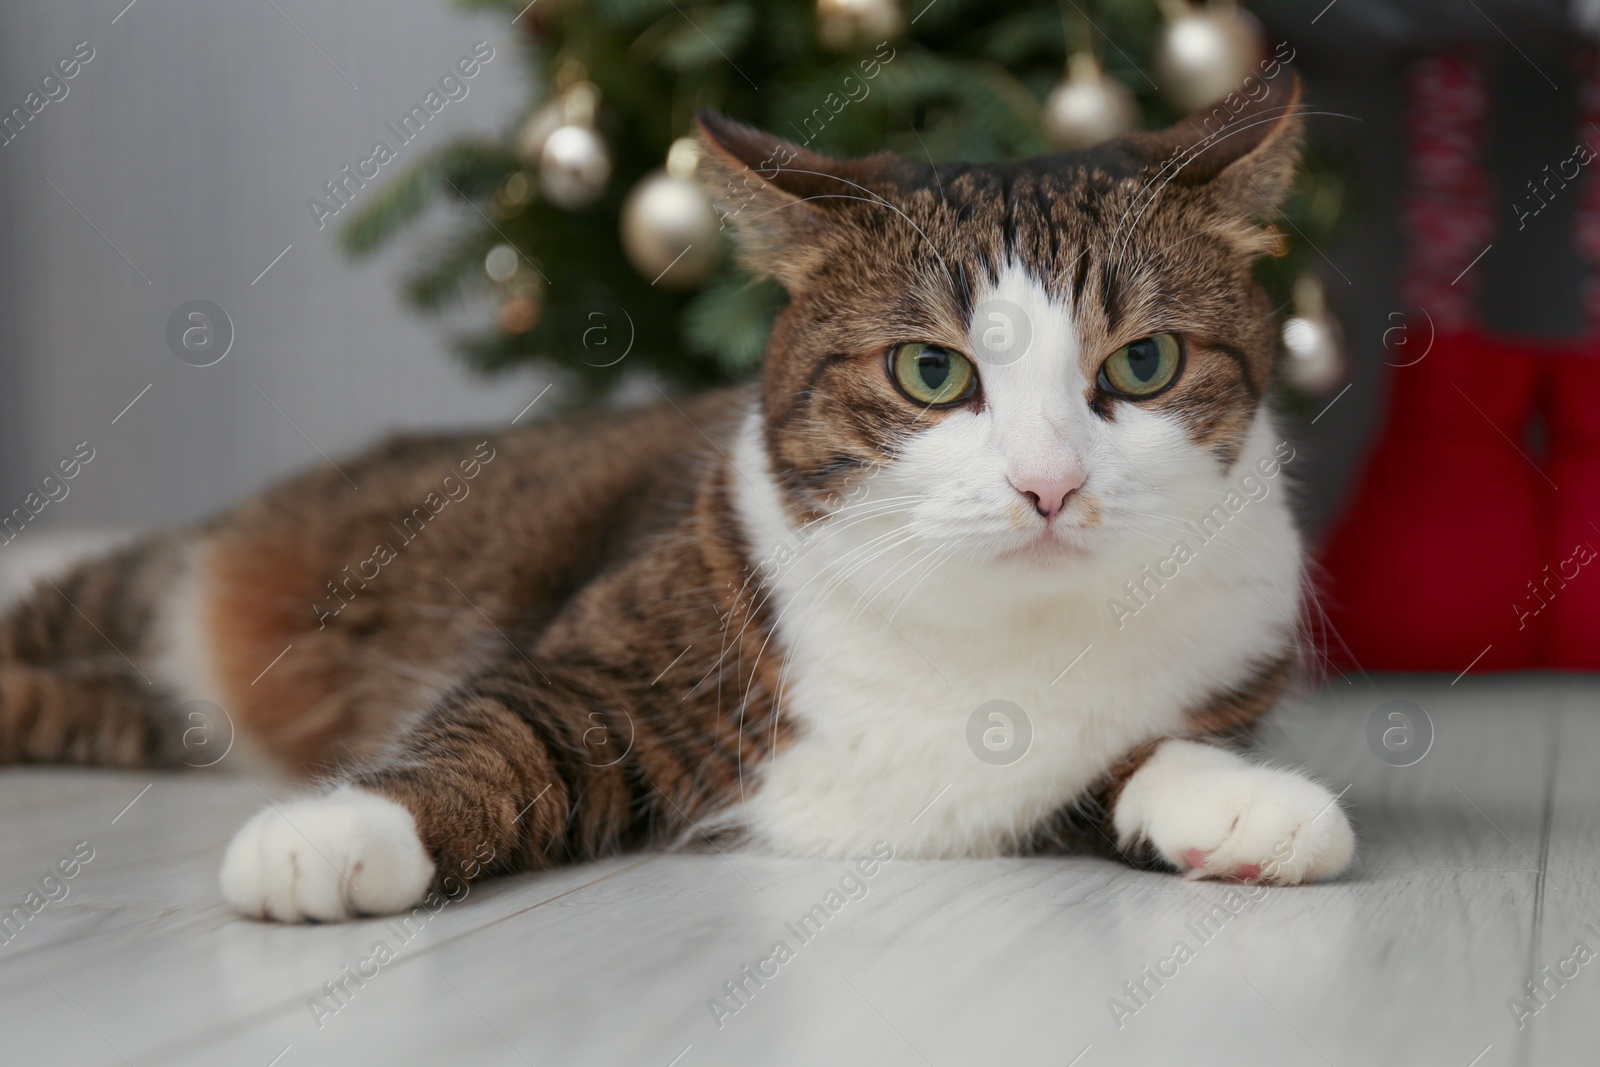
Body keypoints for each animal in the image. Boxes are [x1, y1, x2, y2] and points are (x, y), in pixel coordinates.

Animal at [0, 79, 1350, 921]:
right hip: (162, 586)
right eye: (930, 372)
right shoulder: (597, 667)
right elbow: (489, 733)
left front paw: (1249, 802)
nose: (1049, 483)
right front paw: (333, 834)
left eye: (1144, 363)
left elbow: (1142, 751)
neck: (992, 634)